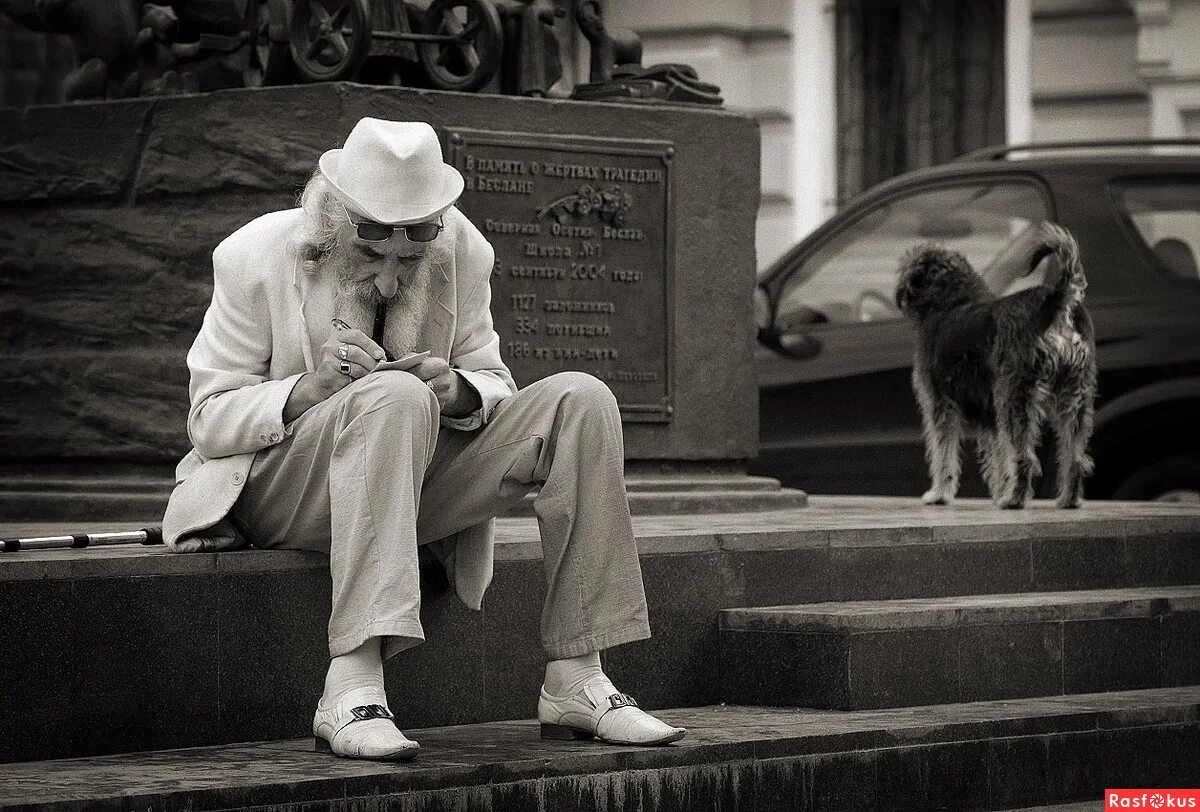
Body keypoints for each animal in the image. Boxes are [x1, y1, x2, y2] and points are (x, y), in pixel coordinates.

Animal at [902, 221, 1099, 506]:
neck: (953, 301)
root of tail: (1055, 299)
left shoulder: (940, 405)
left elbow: (943, 454)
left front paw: (939, 494)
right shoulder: (990, 416)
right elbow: (999, 459)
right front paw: (999, 490)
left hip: (1014, 395)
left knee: (1025, 457)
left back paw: (1014, 500)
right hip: (1075, 395)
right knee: (1075, 458)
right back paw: (1067, 500)